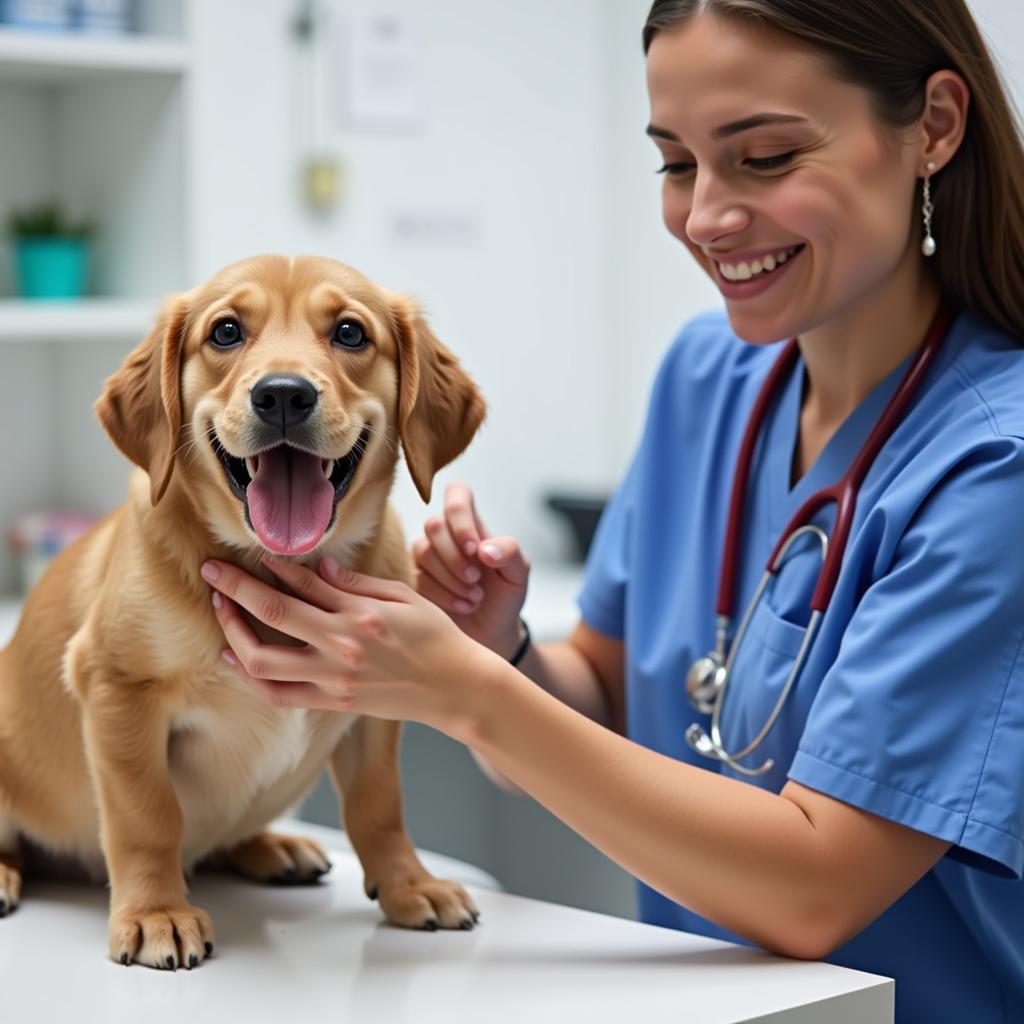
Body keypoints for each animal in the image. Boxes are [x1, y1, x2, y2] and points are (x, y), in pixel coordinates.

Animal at [0, 253, 487, 966]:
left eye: (350, 332)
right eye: (226, 331)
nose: (282, 395)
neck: (280, 570)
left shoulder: (376, 702)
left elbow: (379, 804)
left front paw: (409, 885)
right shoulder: (117, 686)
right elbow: (147, 815)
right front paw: (156, 913)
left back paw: (274, 847)